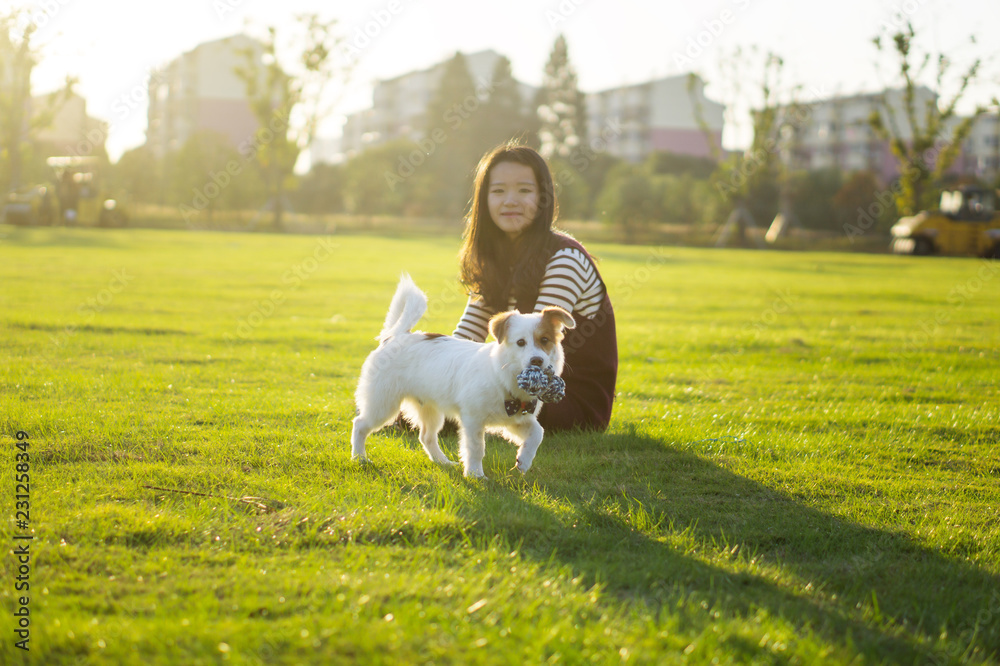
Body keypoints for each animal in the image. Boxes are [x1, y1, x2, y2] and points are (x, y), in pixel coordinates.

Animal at [352, 272, 576, 474]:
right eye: (521, 342)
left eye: (545, 340)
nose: (537, 361)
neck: (503, 375)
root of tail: (395, 336)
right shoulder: (473, 420)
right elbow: (476, 448)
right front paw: (475, 474)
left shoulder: (515, 419)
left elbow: (538, 433)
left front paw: (524, 460)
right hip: (382, 404)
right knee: (360, 424)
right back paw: (359, 458)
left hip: (430, 409)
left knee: (426, 437)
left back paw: (443, 462)